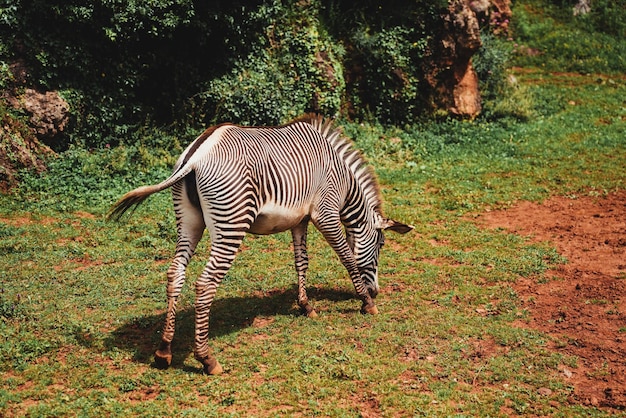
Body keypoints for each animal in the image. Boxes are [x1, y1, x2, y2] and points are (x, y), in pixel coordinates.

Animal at [108, 115, 410, 376]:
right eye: (381, 244)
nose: (377, 290)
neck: (344, 182)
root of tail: (196, 155)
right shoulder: (326, 214)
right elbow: (348, 258)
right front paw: (367, 303)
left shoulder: (299, 220)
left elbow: (301, 261)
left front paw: (306, 306)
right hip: (231, 222)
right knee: (205, 283)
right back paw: (207, 359)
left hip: (188, 221)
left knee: (175, 273)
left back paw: (164, 351)